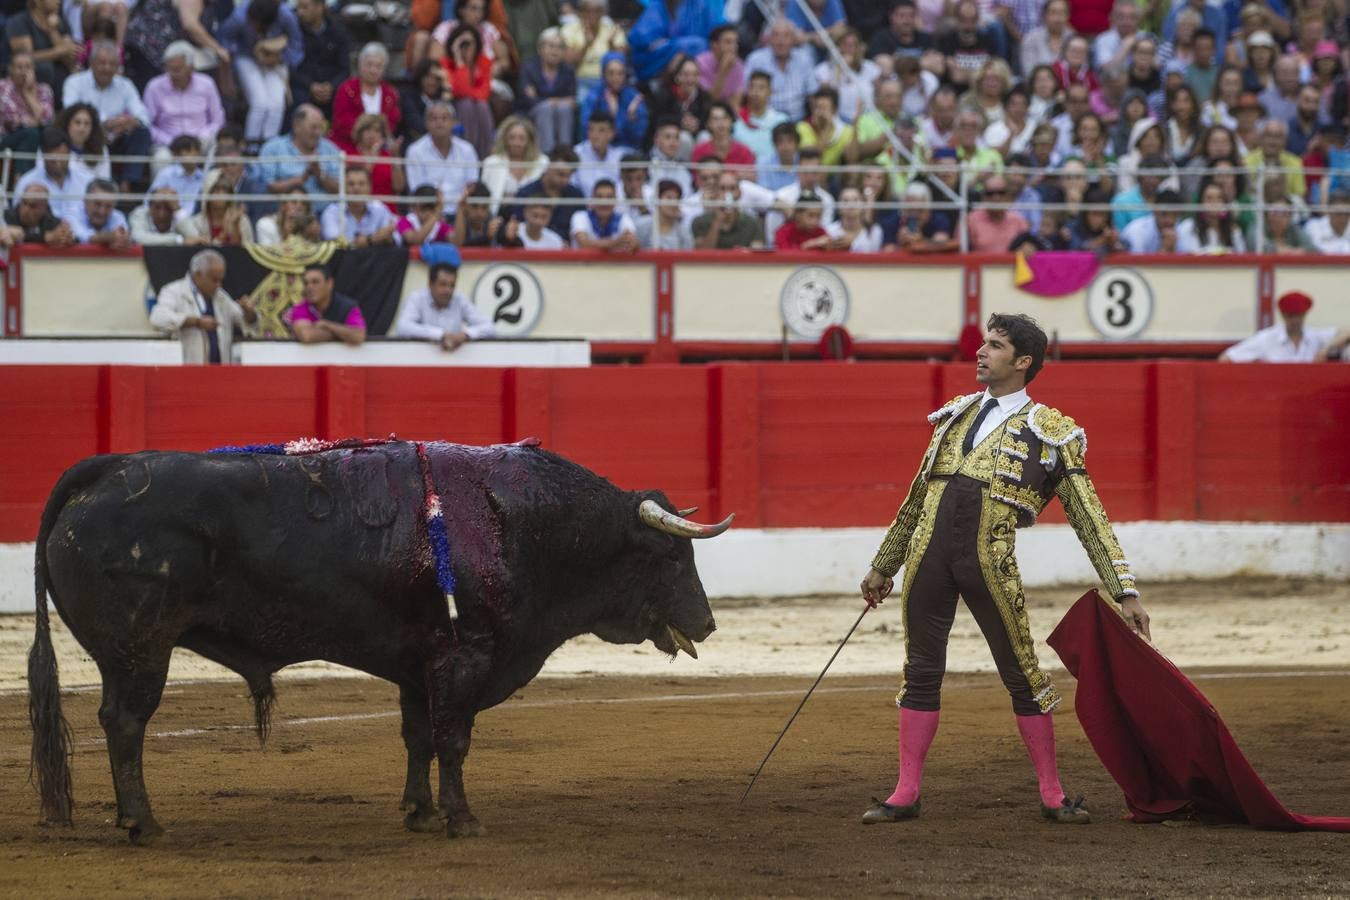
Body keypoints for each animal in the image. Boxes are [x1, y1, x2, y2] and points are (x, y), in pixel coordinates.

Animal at [29, 442, 729, 847]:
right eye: (671, 555)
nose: (706, 624)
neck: (520, 522)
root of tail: (107, 469)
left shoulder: (419, 664)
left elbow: (418, 736)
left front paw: (419, 813)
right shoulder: (465, 657)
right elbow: (453, 739)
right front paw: (461, 819)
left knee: (119, 721)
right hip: (139, 648)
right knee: (126, 722)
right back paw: (142, 822)